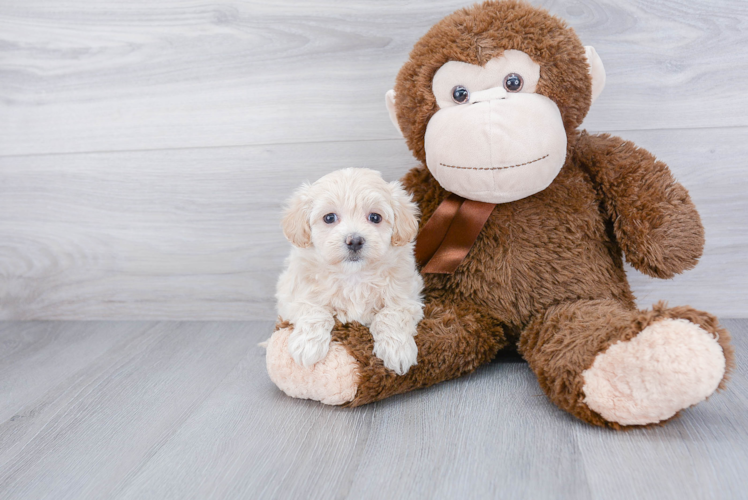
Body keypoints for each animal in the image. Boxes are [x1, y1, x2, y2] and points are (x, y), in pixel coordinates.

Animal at [278, 168, 424, 376]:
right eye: (329, 218)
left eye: (375, 217)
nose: (354, 240)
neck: (354, 275)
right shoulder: (292, 295)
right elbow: (313, 310)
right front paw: (307, 346)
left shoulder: (407, 298)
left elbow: (389, 315)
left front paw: (397, 351)